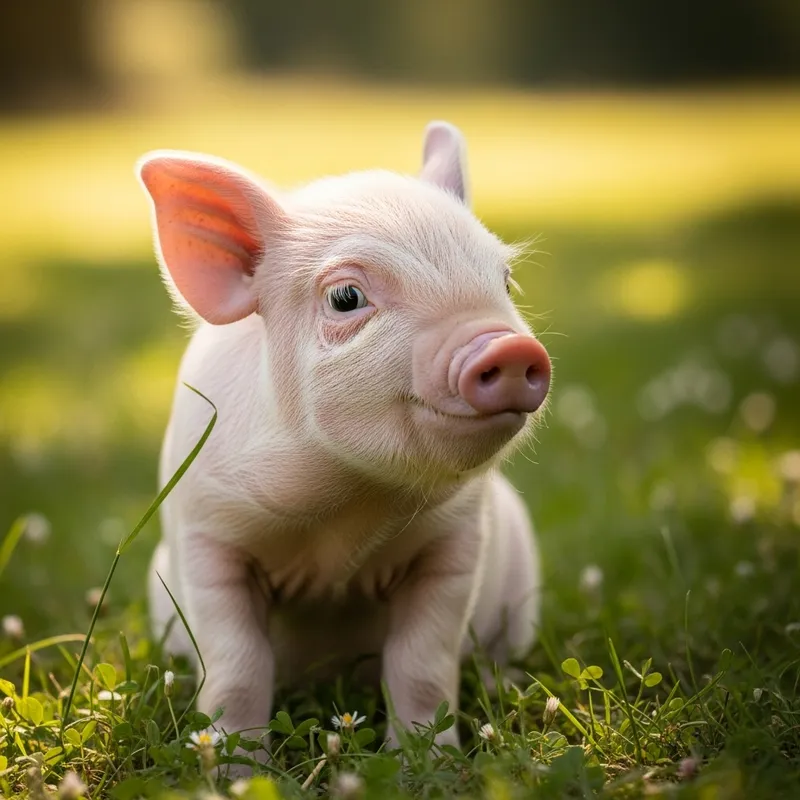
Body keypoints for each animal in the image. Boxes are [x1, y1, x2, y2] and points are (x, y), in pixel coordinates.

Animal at [138, 121, 551, 762]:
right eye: (346, 298)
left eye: (505, 281)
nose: (510, 348)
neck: (342, 513)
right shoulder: (207, 535)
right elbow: (237, 666)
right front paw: (233, 769)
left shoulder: (455, 544)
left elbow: (422, 665)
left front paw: (430, 763)